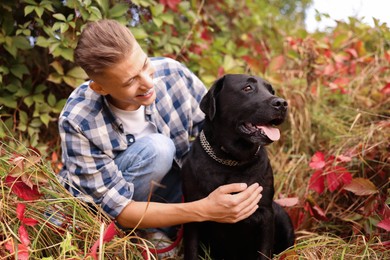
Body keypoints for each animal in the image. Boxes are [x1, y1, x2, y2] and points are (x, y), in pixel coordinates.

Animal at [183, 74, 296, 258]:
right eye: (247, 88)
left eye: (271, 91)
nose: (282, 103)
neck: (232, 162)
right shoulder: (193, 213)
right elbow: (191, 251)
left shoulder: (266, 213)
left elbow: (264, 251)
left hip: (280, 214)